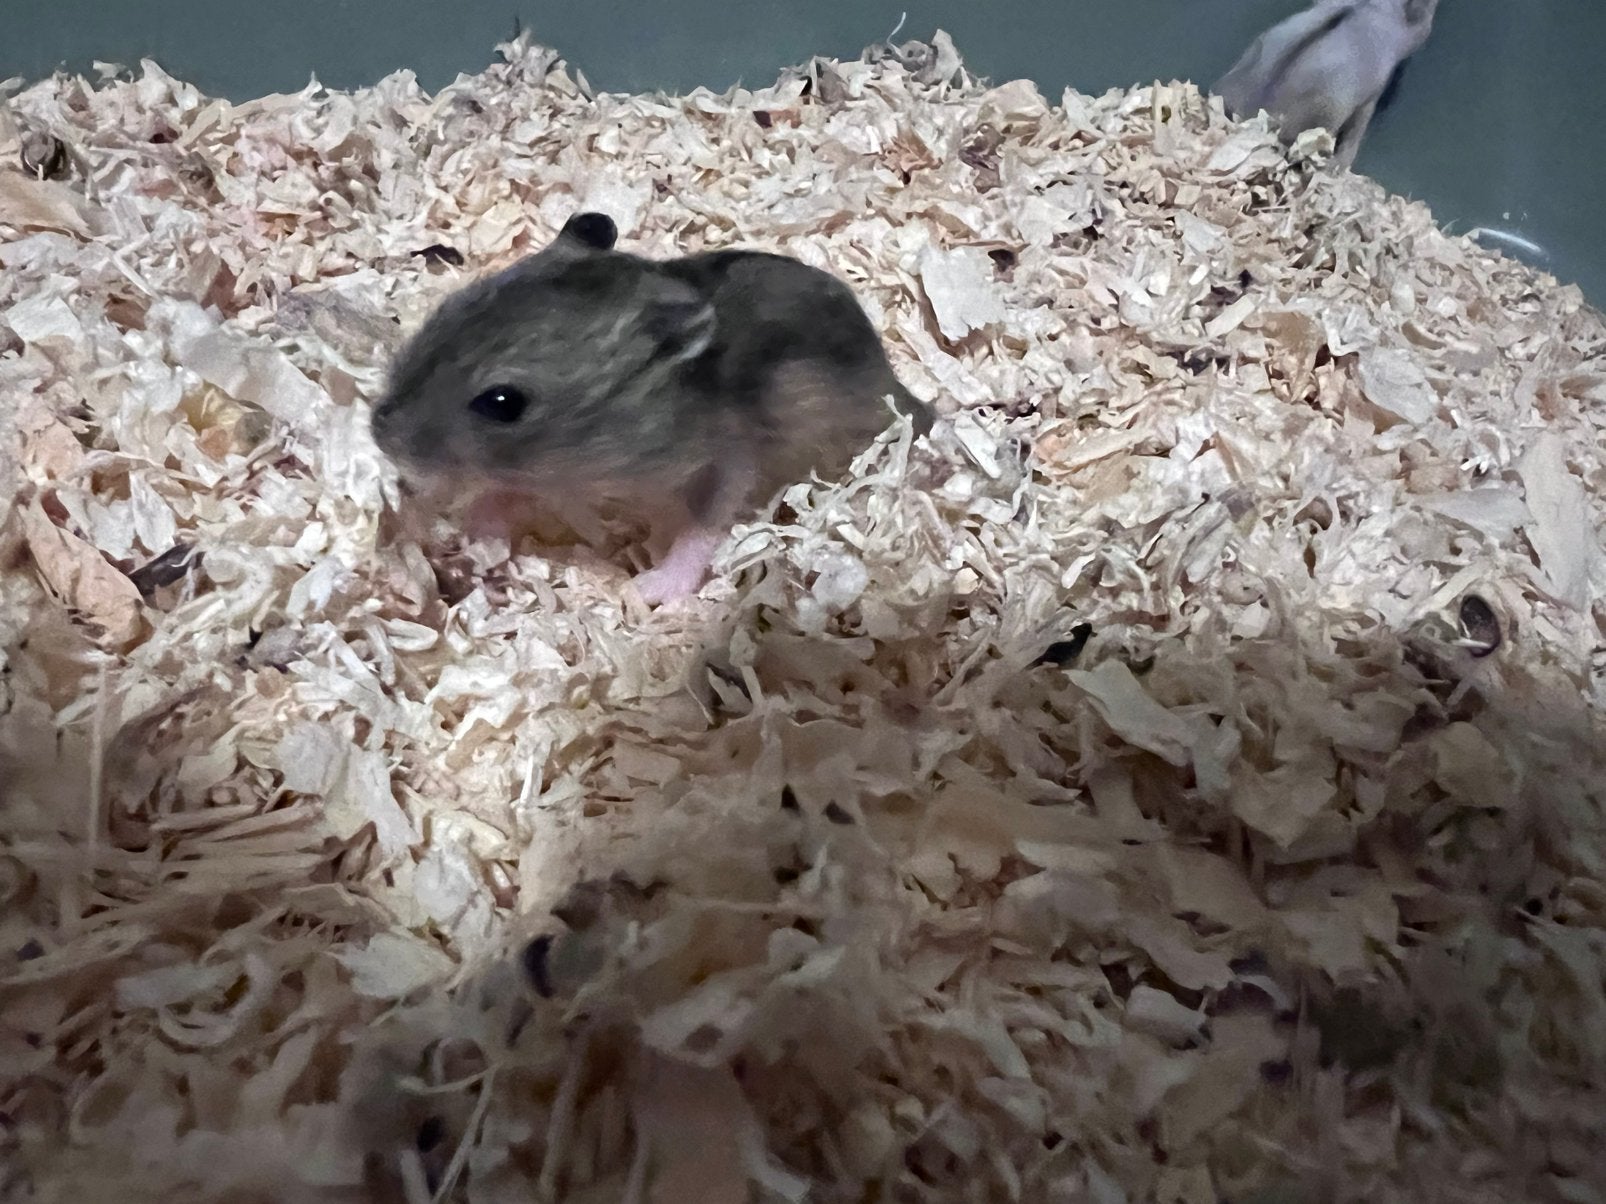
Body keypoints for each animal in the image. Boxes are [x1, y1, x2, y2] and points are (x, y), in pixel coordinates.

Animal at [371, 212, 932, 605]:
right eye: (444, 312)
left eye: (503, 403)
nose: (380, 435)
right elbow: (509, 496)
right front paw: (475, 536)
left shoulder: (731, 465)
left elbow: (702, 529)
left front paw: (646, 590)